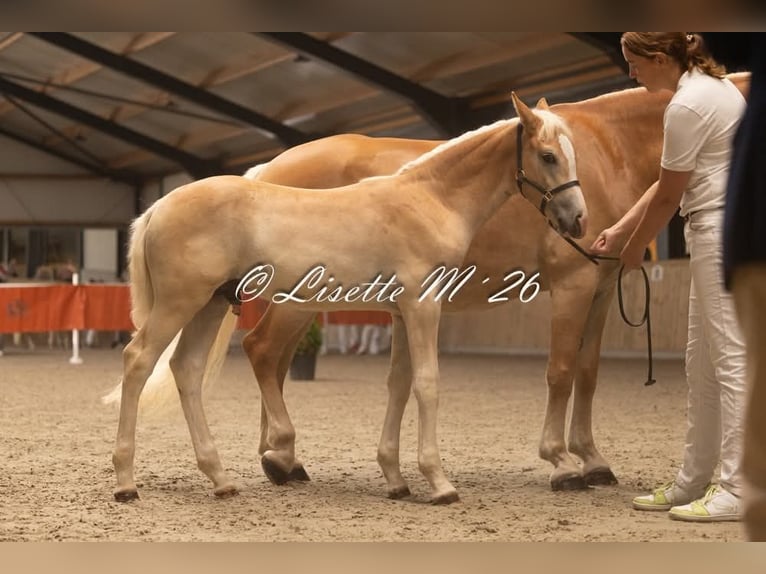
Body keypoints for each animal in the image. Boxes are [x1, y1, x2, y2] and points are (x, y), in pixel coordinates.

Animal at [108, 92, 587, 503]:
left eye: (571, 153)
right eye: (548, 156)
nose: (578, 220)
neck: (427, 199)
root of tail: (160, 205)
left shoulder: (401, 314)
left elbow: (398, 384)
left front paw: (395, 479)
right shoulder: (422, 307)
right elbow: (427, 384)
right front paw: (439, 482)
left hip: (210, 304)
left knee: (186, 369)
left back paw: (221, 479)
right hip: (182, 303)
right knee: (139, 360)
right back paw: (126, 482)